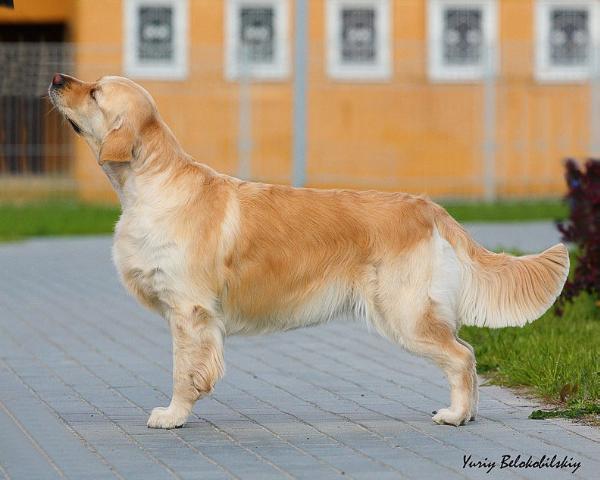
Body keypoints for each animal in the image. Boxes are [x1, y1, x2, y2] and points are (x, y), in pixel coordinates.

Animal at [49, 74, 568, 428]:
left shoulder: (189, 309)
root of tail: (428, 206)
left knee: (462, 355)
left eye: (95, 93)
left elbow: (183, 371)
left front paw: (172, 414)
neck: (151, 183)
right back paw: (468, 413)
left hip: (404, 311)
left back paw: (456, 415)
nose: (56, 78)